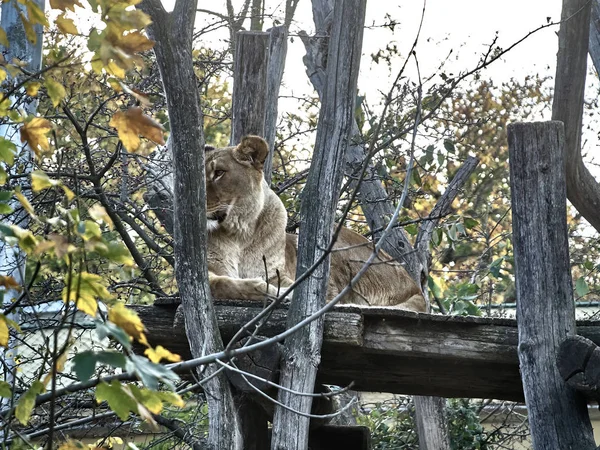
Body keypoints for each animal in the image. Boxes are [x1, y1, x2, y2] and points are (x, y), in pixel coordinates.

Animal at [206, 134, 426, 312]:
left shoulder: (278, 272)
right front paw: (269, 290)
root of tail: (415, 286)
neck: (240, 231)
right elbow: (222, 283)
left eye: (219, 173)